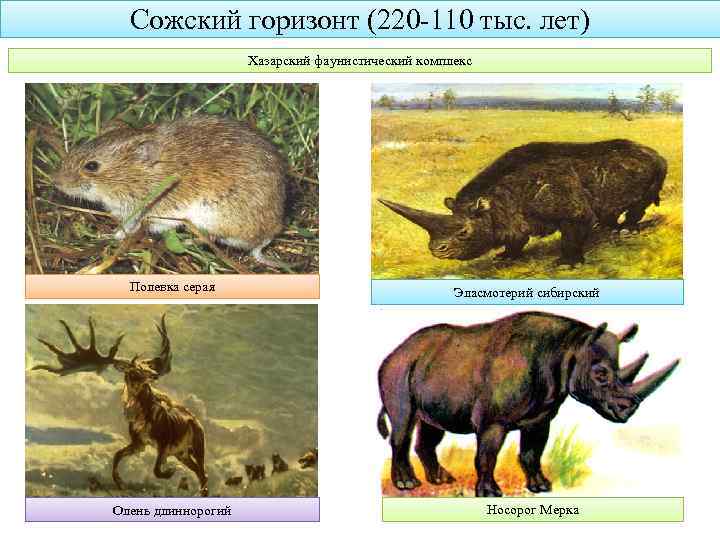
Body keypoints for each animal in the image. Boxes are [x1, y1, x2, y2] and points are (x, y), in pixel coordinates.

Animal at [34, 315, 209, 497]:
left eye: (147, 367)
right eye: (134, 370)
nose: (155, 375)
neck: (142, 417)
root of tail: (196, 421)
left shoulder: (164, 442)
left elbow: (156, 469)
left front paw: (170, 471)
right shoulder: (139, 443)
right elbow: (118, 455)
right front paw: (120, 483)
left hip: (198, 445)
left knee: (203, 473)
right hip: (182, 453)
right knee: (200, 473)